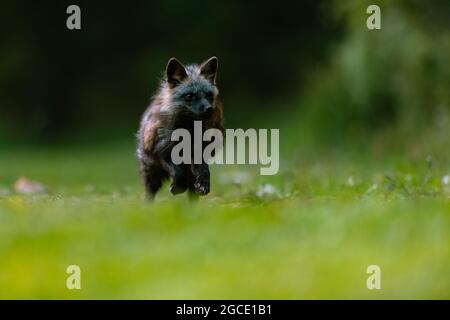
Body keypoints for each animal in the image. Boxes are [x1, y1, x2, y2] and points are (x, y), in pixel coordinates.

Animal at [135, 56, 223, 199]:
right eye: (190, 96)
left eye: (208, 95)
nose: (209, 109)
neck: (188, 131)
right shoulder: (161, 152)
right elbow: (177, 171)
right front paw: (178, 187)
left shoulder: (198, 154)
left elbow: (205, 170)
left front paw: (204, 184)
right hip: (151, 173)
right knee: (149, 194)